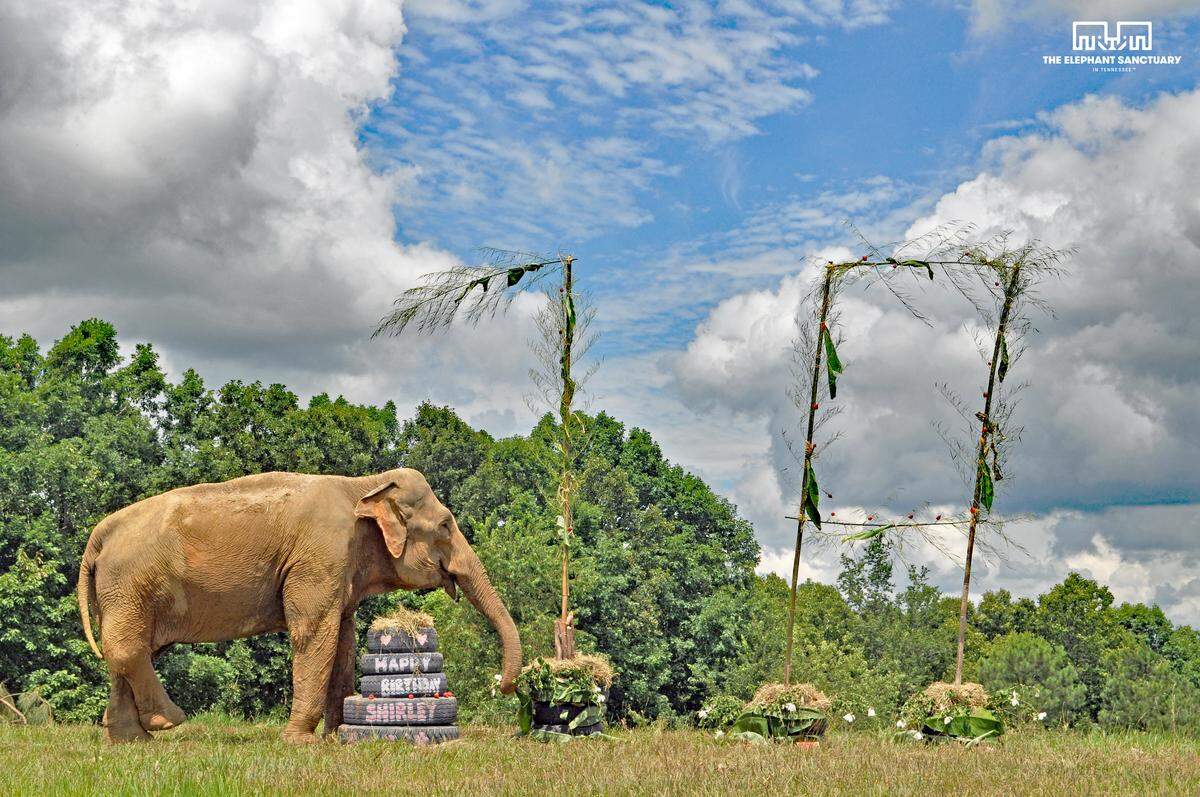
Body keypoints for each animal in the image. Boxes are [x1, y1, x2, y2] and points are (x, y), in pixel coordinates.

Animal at [76, 468, 520, 743]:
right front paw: (299, 742)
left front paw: (336, 737)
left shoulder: (340, 571)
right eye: (445, 525)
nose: (503, 684)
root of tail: (99, 533)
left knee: (128, 652)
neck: (364, 486)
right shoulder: (318, 559)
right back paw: (168, 721)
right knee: (129, 649)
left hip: (124, 590)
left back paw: (131, 741)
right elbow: (314, 632)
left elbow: (343, 640)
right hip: (130, 584)